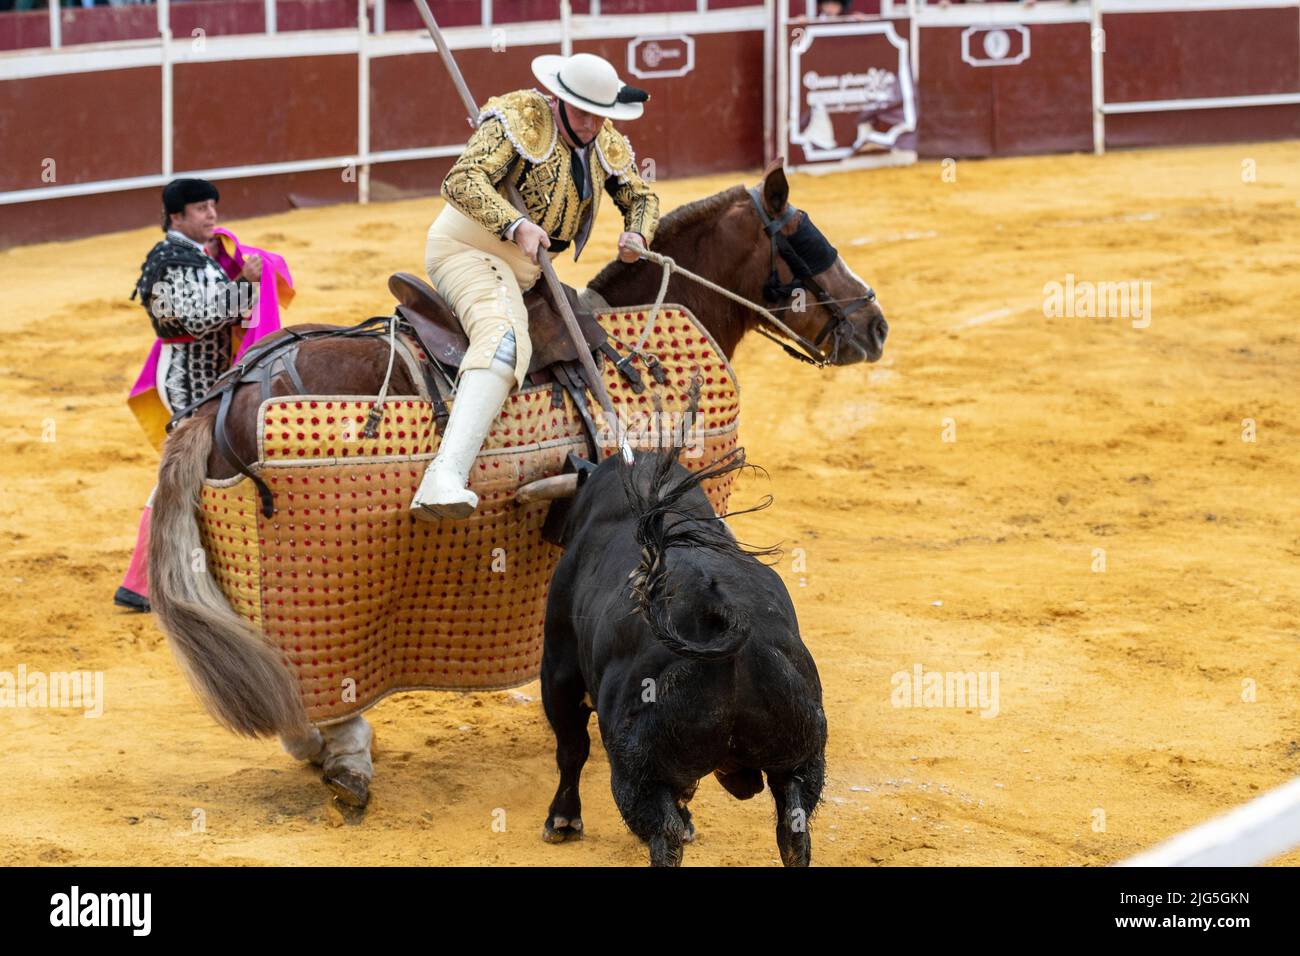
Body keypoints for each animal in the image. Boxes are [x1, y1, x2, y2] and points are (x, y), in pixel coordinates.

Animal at [540, 447, 826, 868]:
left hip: (634, 765)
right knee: (794, 828)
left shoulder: (559, 671)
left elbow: (572, 749)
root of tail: (720, 611)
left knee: (664, 832)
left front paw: (562, 820)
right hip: (802, 756)